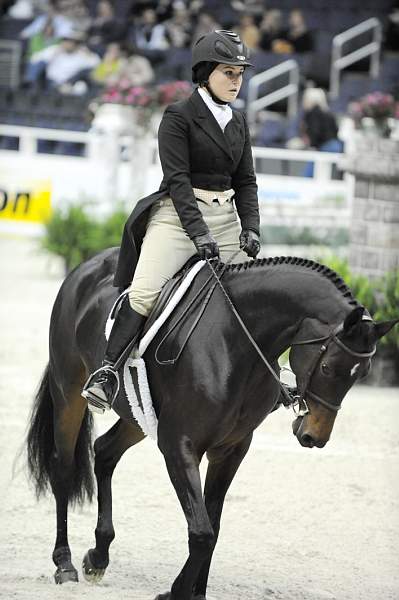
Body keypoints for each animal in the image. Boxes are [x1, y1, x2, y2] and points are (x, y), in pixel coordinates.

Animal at [27, 246, 396, 596]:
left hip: (137, 414)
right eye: (328, 368)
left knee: (104, 452)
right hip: (69, 393)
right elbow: (202, 532)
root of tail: (86, 268)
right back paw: (65, 563)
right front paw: (176, 592)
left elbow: (213, 527)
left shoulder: (231, 450)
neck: (236, 342)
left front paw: (196, 591)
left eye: (363, 373)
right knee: (63, 469)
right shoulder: (179, 446)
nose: (314, 436)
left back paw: (98, 556)